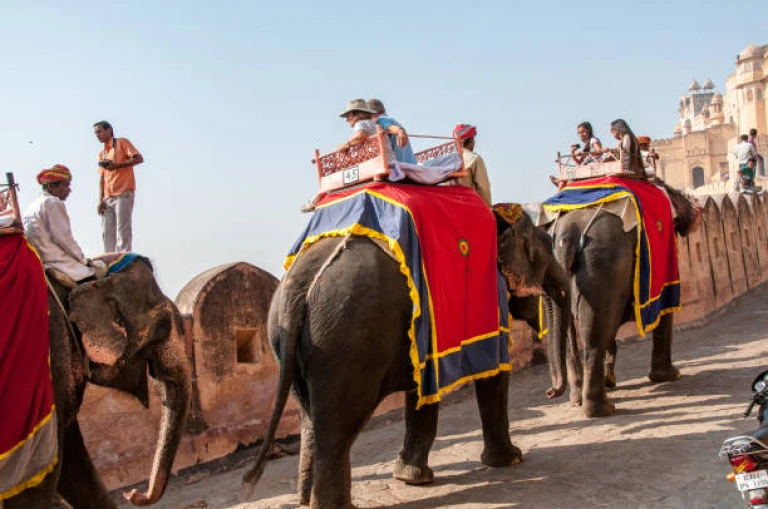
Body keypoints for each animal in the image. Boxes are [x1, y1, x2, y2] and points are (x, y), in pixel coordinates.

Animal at [243, 208, 572, 508]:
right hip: (347, 340)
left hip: (291, 343)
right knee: (338, 426)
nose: (551, 392)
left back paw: (304, 499)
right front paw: (511, 459)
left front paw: (411, 477)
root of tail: (298, 287)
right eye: (545, 255)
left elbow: (422, 391)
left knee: (311, 417)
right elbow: (494, 373)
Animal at [544, 183, 700, 416]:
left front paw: (611, 379)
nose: (550, 392)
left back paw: (578, 399)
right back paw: (601, 409)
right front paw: (670, 376)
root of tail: (567, 237)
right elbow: (665, 307)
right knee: (594, 334)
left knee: (575, 331)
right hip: (602, 263)